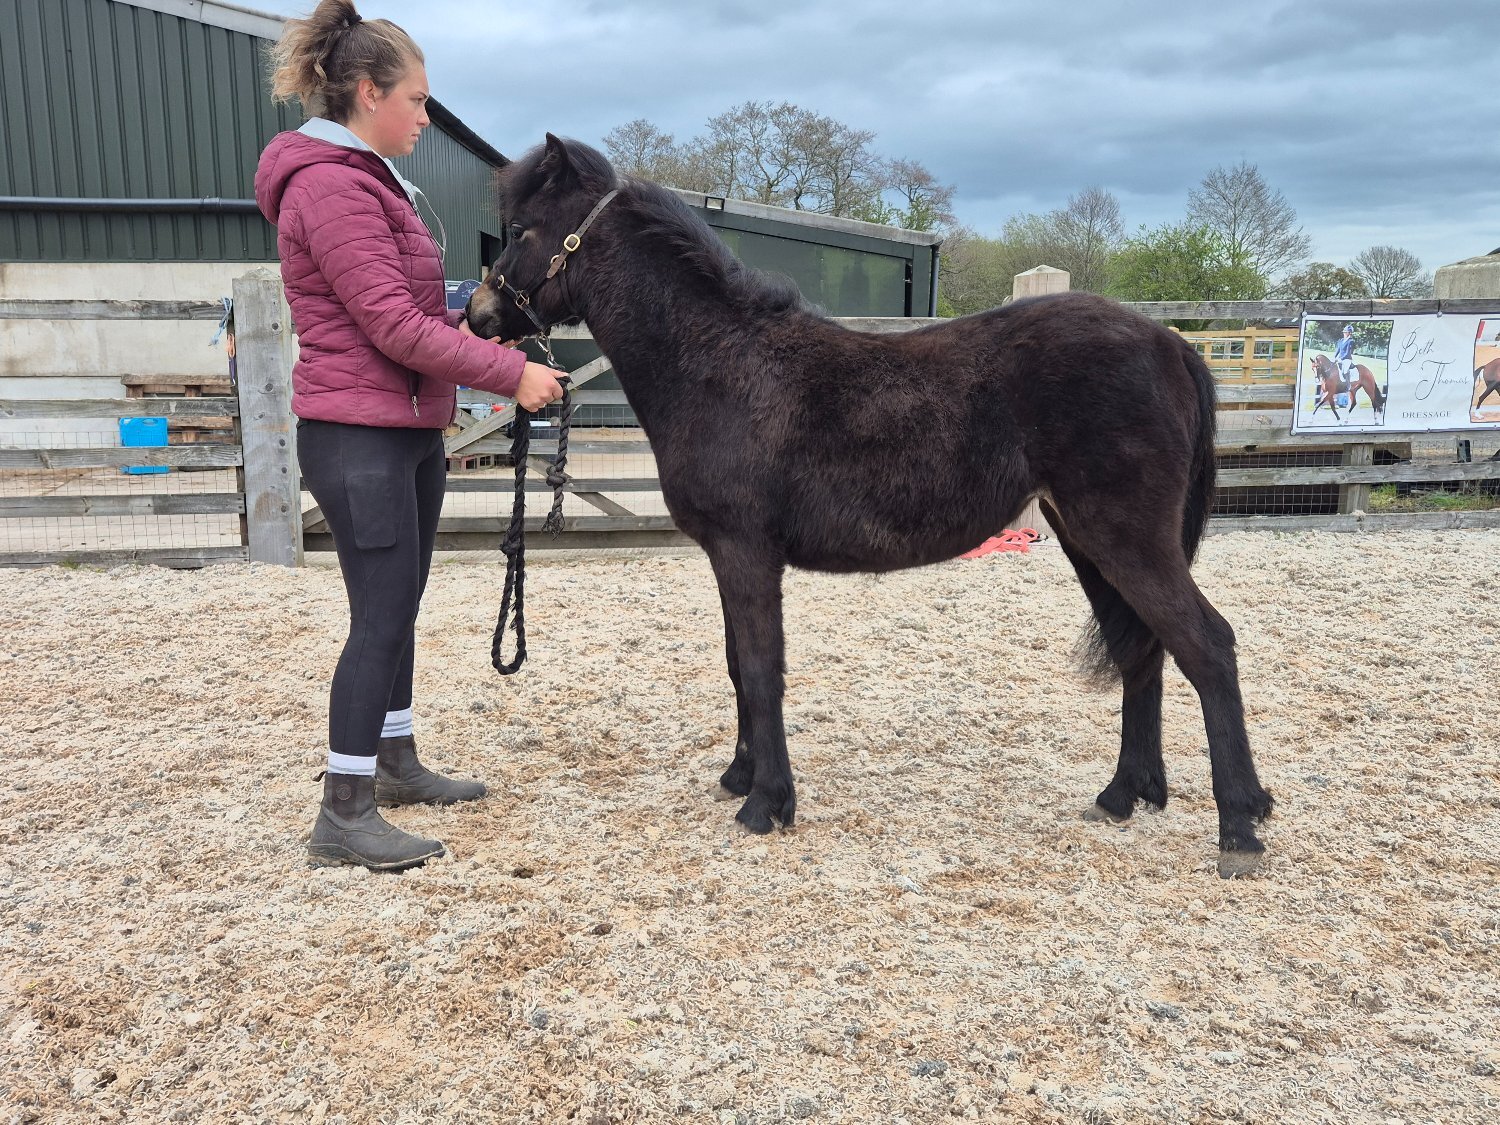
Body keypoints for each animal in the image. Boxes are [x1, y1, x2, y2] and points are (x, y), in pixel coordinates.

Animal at [466, 135, 1274, 877]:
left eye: (521, 229)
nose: (477, 314)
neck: (718, 364)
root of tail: (1172, 343)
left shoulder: (746, 552)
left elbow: (760, 667)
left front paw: (766, 802)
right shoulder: (728, 555)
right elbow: (736, 664)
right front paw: (739, 775)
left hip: (1123, 536)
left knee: (1206, 644)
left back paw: (1239, 825)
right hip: (1088, 538)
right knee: (1144, 649)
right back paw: (1126, 793)